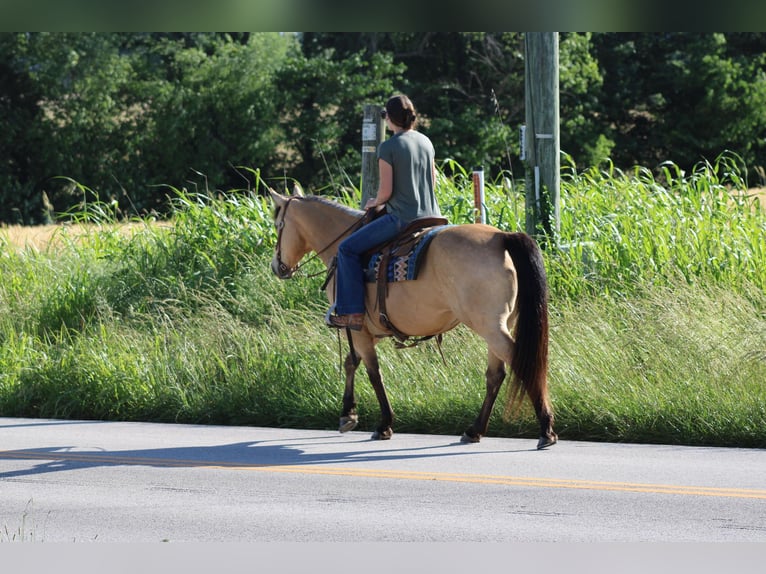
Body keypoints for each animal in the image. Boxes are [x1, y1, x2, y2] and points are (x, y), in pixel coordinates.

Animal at [268, 186, 557, 450]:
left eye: (277, 224)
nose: (277, 267)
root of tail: (502, 237)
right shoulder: (368, 328)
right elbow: (352, 363)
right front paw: (348, 413)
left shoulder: (357, 327)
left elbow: (373, 372)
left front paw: (383, 424)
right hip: (499, 326)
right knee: (495, 375)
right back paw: (475, 430)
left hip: (490, 327)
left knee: (522, 364)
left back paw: (546, 430)